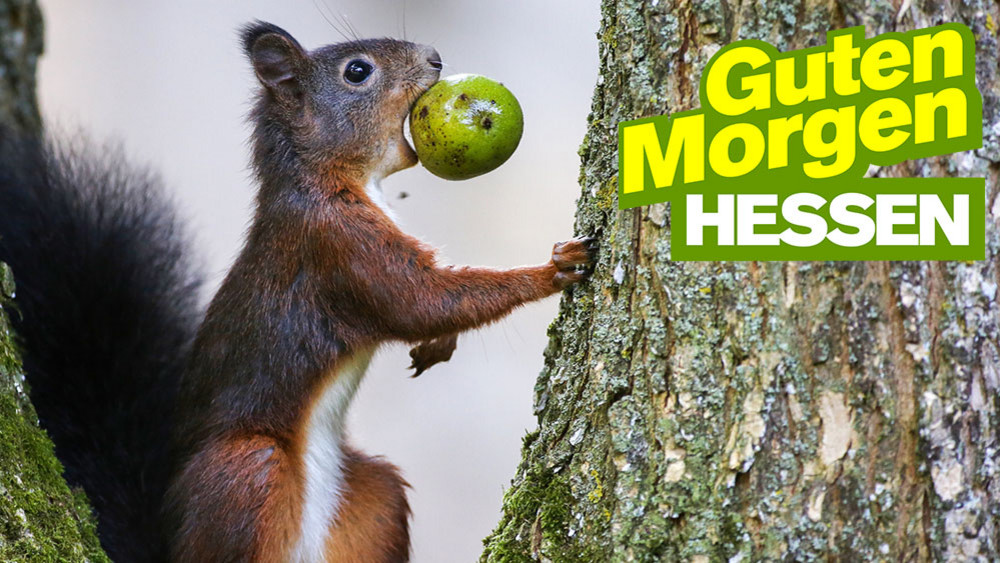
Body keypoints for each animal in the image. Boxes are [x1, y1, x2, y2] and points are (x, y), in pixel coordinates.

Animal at [0, 20, 596, 563]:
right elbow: (420, 300)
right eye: (357, 72)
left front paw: (440, 344)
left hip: (373, 498)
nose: (434, 58)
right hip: (246, 473)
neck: (325, 177)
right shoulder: (338, 243)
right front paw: (552, 268)